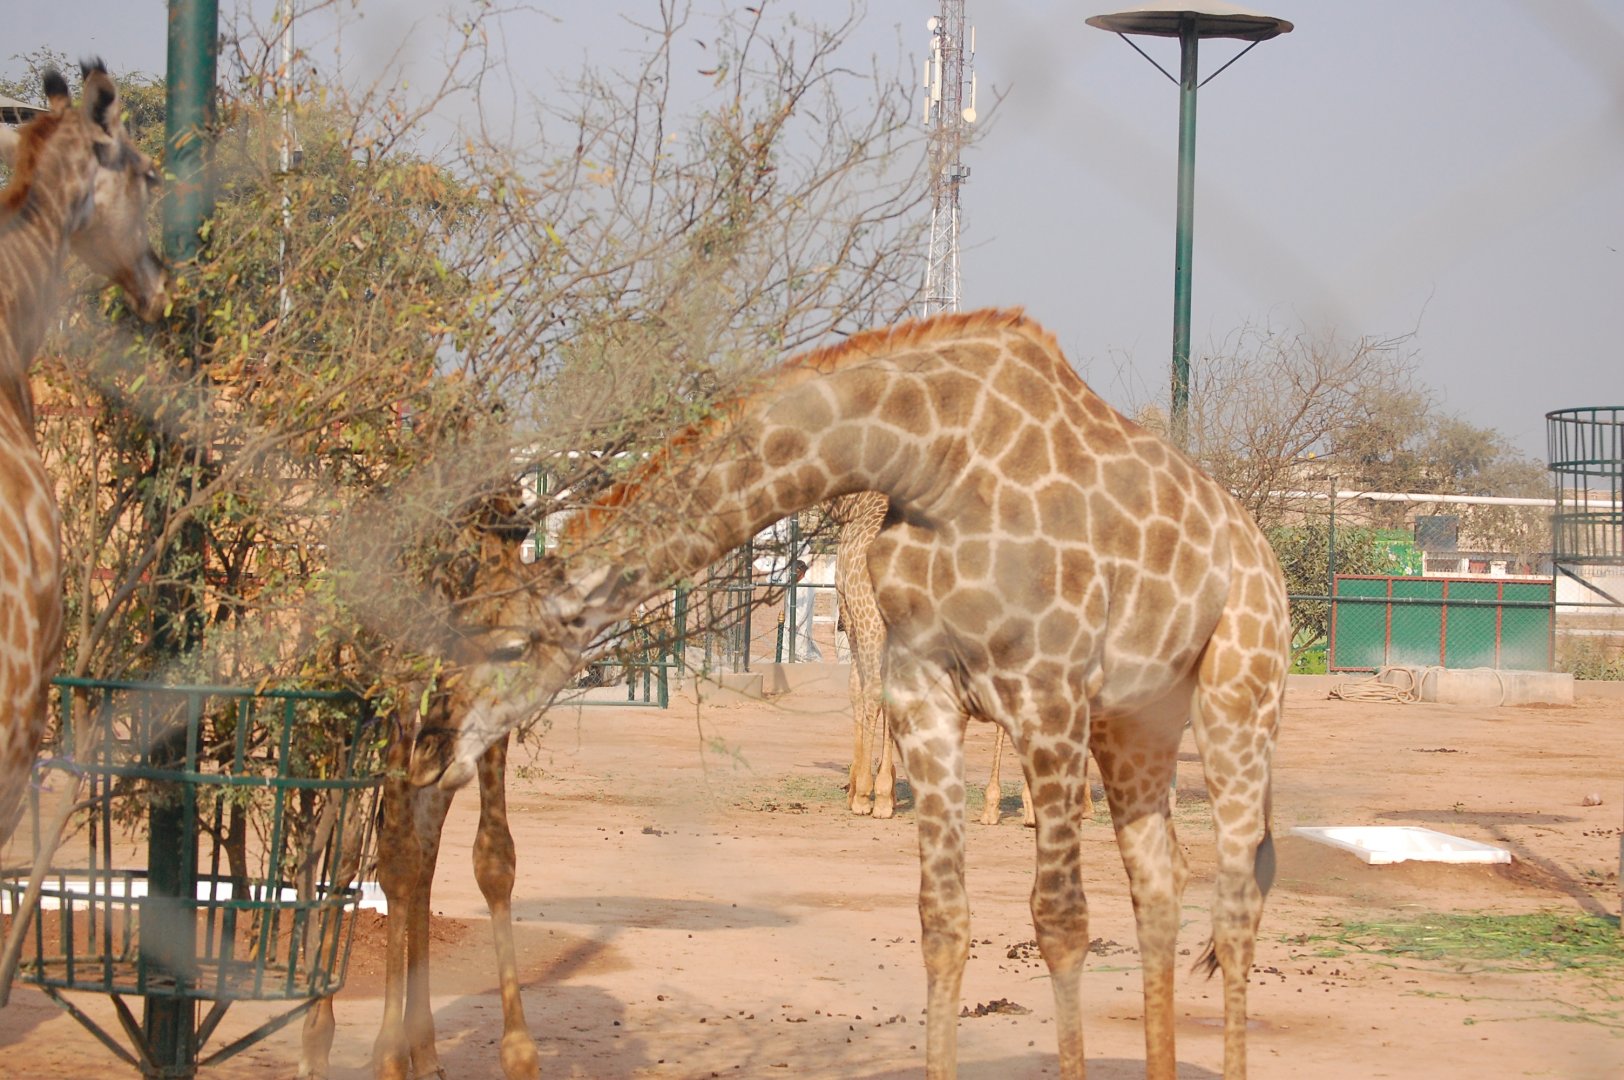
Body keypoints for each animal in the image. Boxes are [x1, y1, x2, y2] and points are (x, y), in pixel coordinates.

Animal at [418, 309, 1289, 1080]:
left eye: (505, 644)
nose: (431, 746)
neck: (926, 453)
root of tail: (1263, 557)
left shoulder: (1046, 694)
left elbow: (1062, 922)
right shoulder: (927, 697)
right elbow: (942, 920)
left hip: (1239, 701)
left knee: (1236, 903)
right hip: (1135, 724)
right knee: (1163, 882)